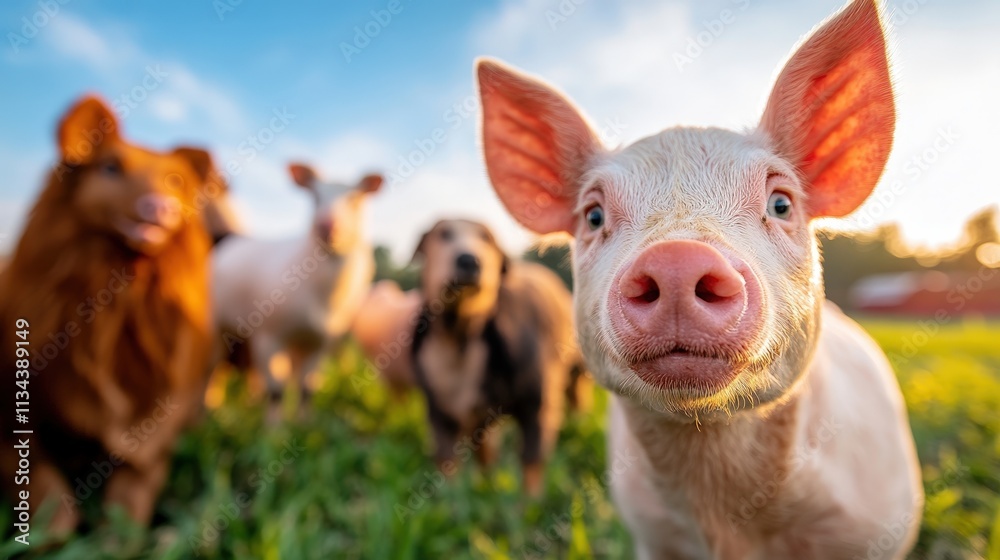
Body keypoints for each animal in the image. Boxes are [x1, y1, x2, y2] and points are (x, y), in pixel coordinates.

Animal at [212, 163, 383, 421]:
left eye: (355, 199)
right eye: (314, 196)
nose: (327, 225)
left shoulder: (319, 345)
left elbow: (306, 389)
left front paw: (304, 424)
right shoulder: (268, 337)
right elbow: (276, 391)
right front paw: (273, 429)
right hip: (218, 328)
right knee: (215, 371)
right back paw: (214, 408)